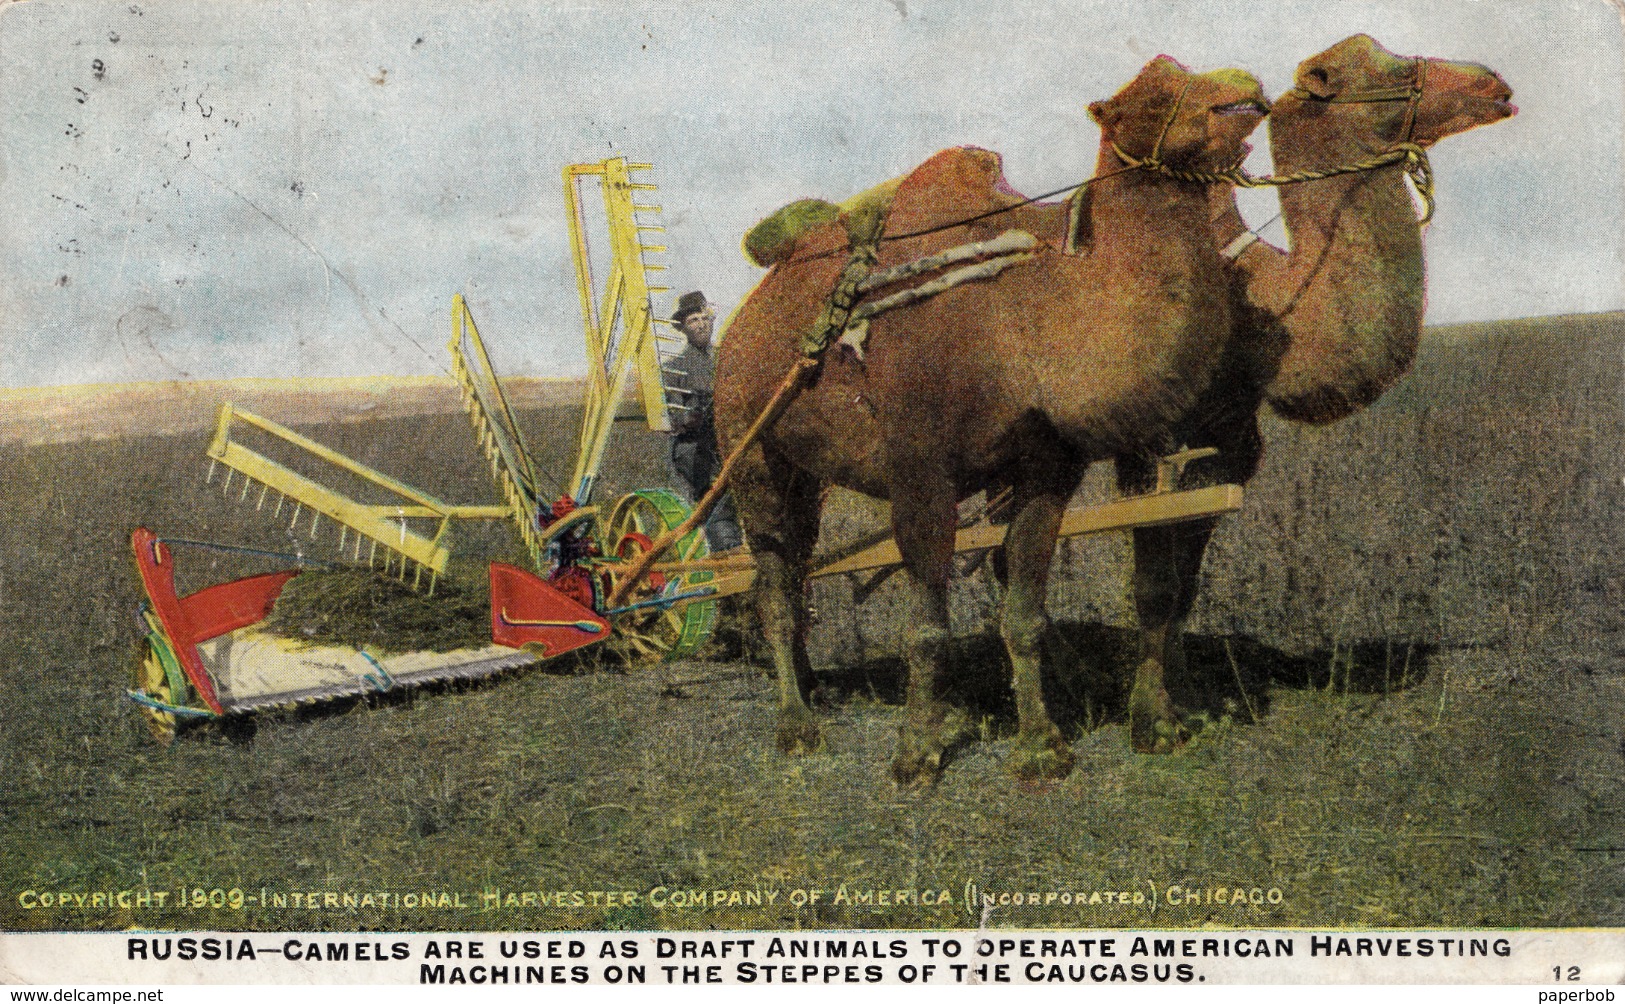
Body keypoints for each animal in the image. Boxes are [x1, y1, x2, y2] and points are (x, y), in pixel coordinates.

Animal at [721, 56, 1267, 783]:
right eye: (1153, 95)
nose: (1245, 89)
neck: (1022, 318)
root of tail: (738, 325)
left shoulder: (1044, 469)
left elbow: (1024, 612)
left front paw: (1040, 747)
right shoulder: (920, 467)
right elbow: (927, 627)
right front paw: (916, 752)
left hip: (804, 471)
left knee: (798, 559)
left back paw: (812, 687)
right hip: (748, 445)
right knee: (773, 582)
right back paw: (794, 726)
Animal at [1118, 35, 1508, 747]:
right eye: (1388, 67)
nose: (1494, 83)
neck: (1260, 297)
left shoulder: (1230, 440)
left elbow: (1185, 581)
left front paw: (1191, 704)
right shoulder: (1147, 440)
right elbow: (1154, 582)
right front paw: (1151, 724)